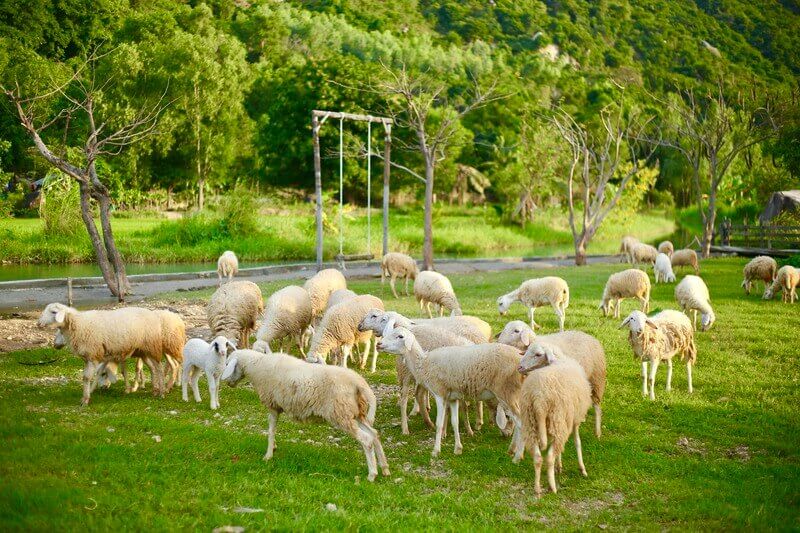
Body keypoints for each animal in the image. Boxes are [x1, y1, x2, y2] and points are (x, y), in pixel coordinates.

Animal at [37, 303, 166, 405]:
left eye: (53, 312)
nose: (38, 323)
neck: (79, 324)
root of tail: (153, 314)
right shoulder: (89, 357)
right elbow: (87, 376)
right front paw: (86, 395)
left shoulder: (93, 355)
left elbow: (88, 377)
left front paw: (86, 400)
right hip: (143, 351)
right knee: (153, 368)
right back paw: (155, 390)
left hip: (152, 347)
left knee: (159, 368)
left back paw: (162, 393)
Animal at [221, 349, 390, 482]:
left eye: (229, 364)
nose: (228, 383)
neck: (257, 367)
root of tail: (358, 382)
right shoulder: (276, 406)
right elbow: (272, 430)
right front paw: (273, 448)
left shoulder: (273, 405)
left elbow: (271, 430)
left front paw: (268, 455)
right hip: (355, 413)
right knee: (374, 434)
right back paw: (384, 468)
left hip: (340, 414)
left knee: (366, 439)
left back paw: (372, 474)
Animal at [377, 326, 524, 458]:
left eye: (400, 336)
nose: (378, 344)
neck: (423, 363)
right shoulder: (452, 398)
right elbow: (454, 422)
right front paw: (458, 448)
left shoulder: (439, 394)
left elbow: (439, 422)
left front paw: (436, 451)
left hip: (507, 393)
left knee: (520, 421)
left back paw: (515, 451)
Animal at [517, 343, 592, 496]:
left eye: (538, 354)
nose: (519, 367)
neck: (558, 360)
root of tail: (539, 399)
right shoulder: (575, 419)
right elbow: (577, 442)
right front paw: (582, 469)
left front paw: (560, 466)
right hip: (558, 418)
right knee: (549, 456)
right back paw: (552, 487)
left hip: (531, 423)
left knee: (538, 457)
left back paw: (537, 488)